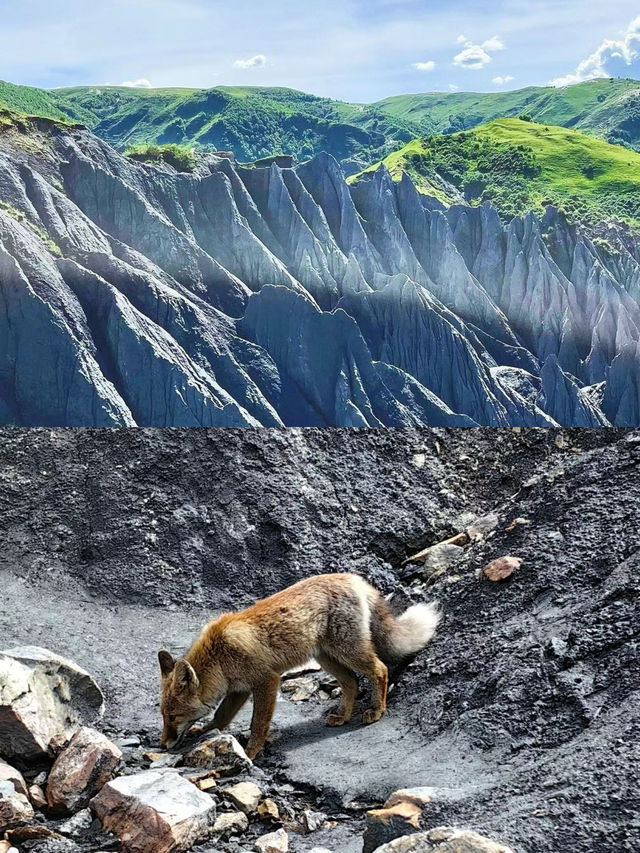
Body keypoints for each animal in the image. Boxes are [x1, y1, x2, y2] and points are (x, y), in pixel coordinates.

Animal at [158, 572, 442, 760]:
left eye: (173, 716)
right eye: (163, 716)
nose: (162, 744)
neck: (219, 655)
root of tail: (351, 577)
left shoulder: (266, 680)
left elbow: (257, 724)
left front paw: (250, 752)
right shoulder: (239, 688)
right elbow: (221, 717)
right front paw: (205, 731)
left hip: (349, 652)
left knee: (380, 670)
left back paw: (377, 710)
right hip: (327, 658)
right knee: (351, 682)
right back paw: (343, 716)